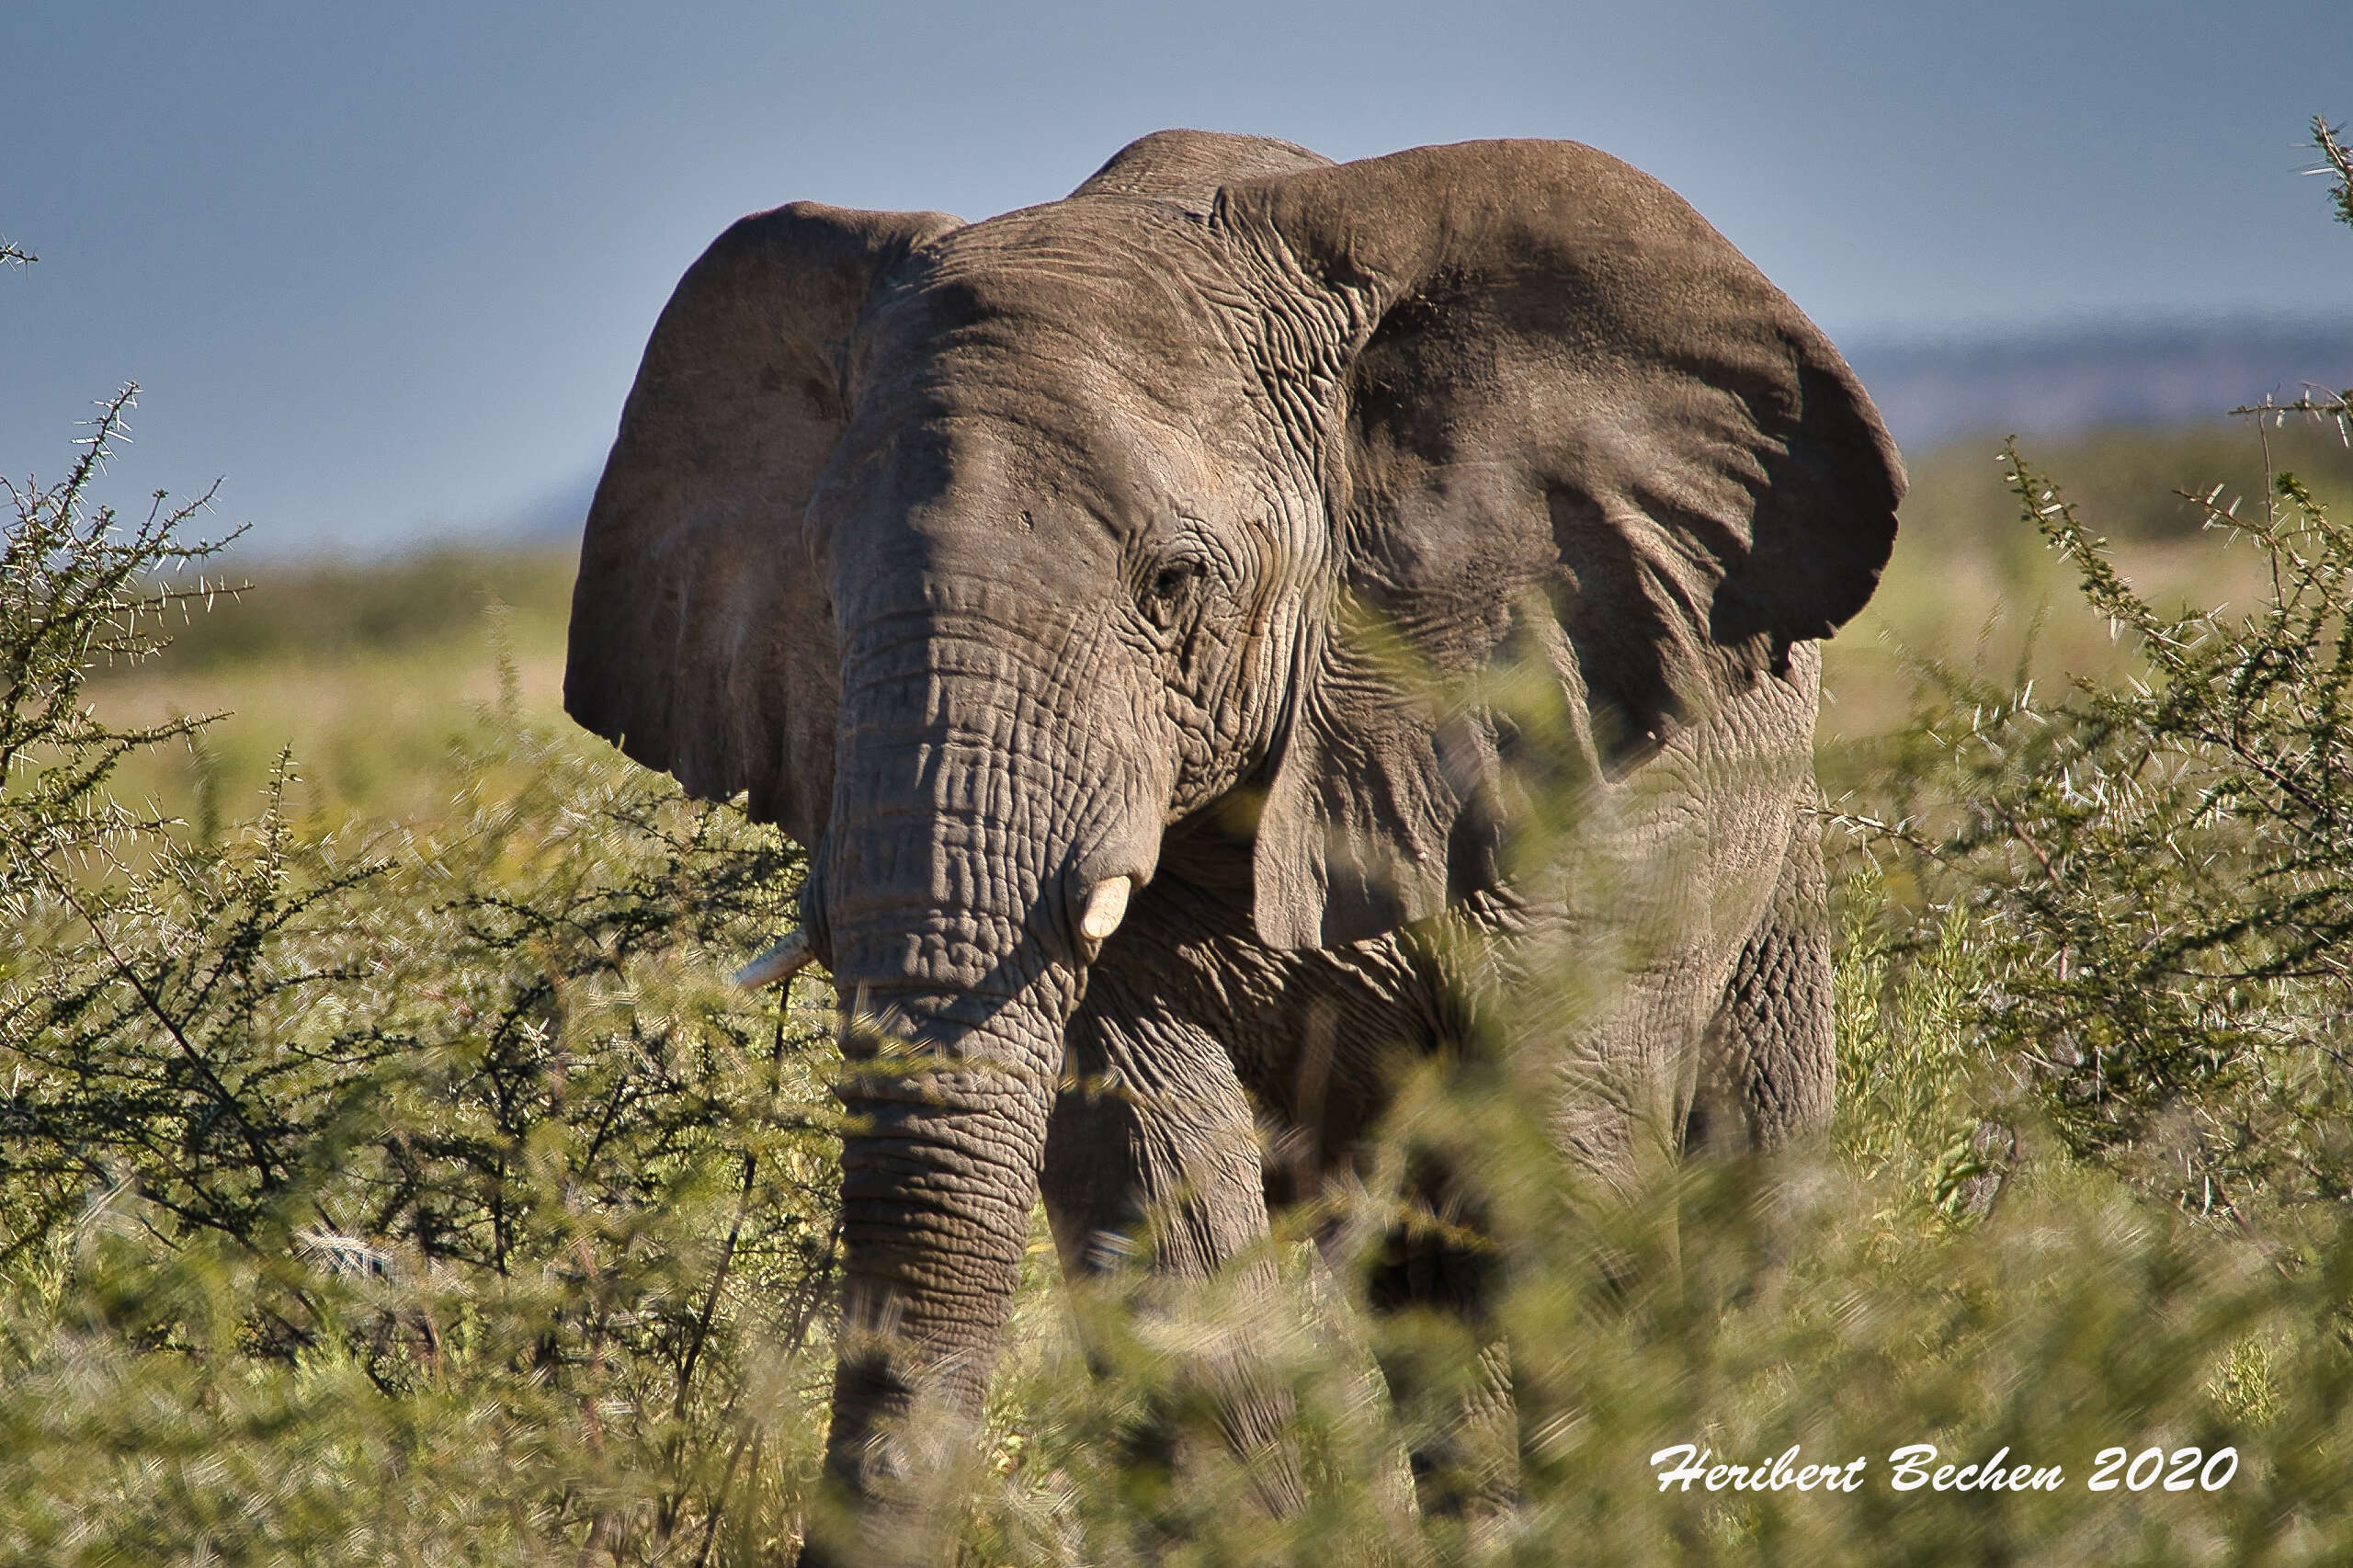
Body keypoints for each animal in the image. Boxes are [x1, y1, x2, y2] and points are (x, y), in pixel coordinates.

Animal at [560, 128, 1901, 1553]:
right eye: (822, 592)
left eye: (1173, 584)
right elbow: (1157, 1204)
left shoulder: (1564, 762)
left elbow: (1563, 1173)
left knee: (1729, 1179)